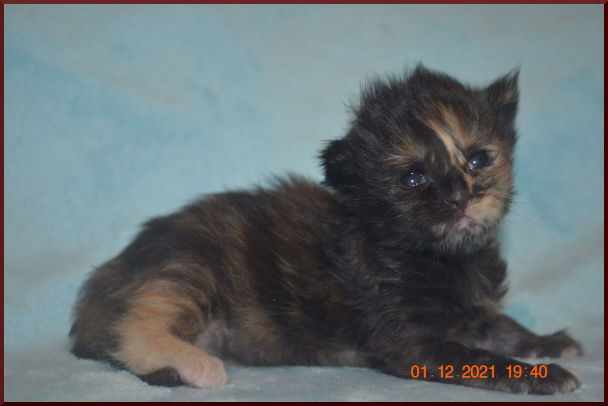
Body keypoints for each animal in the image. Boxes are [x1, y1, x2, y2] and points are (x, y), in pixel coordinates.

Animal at [70, 65, 583, 394]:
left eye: (478, 159)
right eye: (413, 179)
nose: (460, 196)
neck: (435, 256)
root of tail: (110, 273)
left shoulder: (475, 311)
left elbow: (506, 328)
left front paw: (549, 344)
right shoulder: (404, 338)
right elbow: (475, 356)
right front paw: (542, 375)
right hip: (189, 265)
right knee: (130, 327)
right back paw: (197, 366)